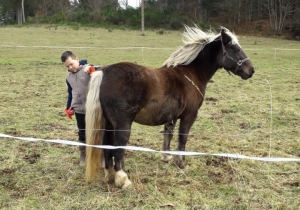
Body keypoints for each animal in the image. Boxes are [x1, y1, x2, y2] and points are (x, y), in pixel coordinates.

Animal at [85, 25, 255, 189]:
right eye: (235, 49)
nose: (251, 70)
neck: (191, 74)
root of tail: (104, 72)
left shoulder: (170, 117)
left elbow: (168, 134)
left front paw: (166, 157)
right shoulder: (189, 116)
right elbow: (182, 138)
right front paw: (182, 163)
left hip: (108, 124)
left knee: (107, 146)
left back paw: (109, 175)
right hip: (122, 125)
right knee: (118, 148)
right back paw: (122, 179)